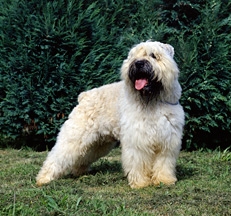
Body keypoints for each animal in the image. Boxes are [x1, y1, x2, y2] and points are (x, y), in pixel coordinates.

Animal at [36, 41, 184, 188]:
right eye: (133, 56)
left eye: (153, 55)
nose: (138, 63)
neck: (153, 100)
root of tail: (84, 96)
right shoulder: (137, 140)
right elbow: (138, 162)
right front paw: (140, 183)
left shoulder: (168, 140)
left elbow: (164, 163)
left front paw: (164, 180)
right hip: (74, 137)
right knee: (57, 156)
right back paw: (43, 178)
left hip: (97, 144)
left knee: (82, 157)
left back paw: (80, 171)